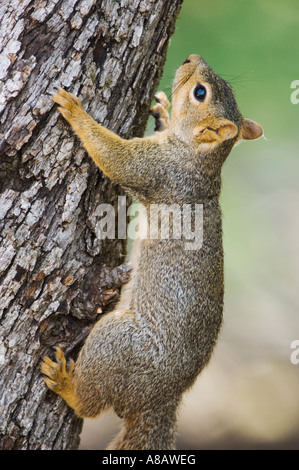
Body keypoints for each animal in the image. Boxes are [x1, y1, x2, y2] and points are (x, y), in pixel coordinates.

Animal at [41, 53, 264, 450]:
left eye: (200, 93)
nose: (192, 57)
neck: (199, 157)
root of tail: (161, 400)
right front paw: (161, 111)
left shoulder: (158, 170)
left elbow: (117, 158)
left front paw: (75, 110)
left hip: (116, 342)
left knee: (91, 406)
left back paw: (67, 384)